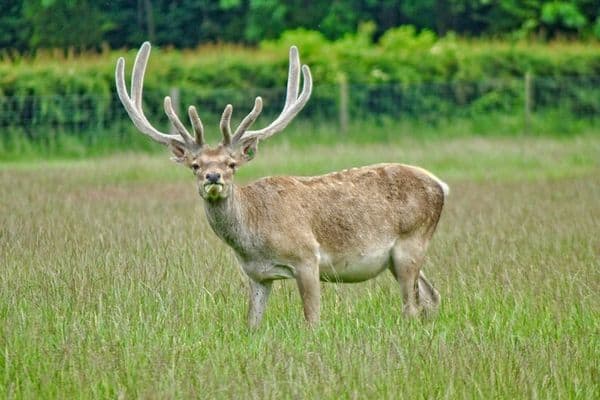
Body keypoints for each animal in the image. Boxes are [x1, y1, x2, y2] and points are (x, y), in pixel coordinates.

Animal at [115, 41, 448, 328]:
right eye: (195, 166)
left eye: (231, 164)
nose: (213, 177)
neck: (253, 238)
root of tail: (441, 185)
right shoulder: (257, 275)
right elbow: (252, 324)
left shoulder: (307, 257)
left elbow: (312, 320)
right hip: (399, 257)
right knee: (431, 296)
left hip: (411, 242)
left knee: (411, 306)